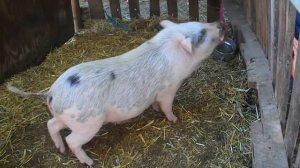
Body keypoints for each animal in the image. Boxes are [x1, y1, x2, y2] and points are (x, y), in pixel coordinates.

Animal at [7, 20, 224, 165]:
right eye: (202, 33)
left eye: (200, 23)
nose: (221, 24)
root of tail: (52, 93)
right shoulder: (168, 89)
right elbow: (167, 105)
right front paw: (174, 119)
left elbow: (156, 104)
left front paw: (156, 110)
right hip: (88, 123)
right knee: (72, 140)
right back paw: (89, 162)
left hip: (68, 117)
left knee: (51, 125)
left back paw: (60, 150)